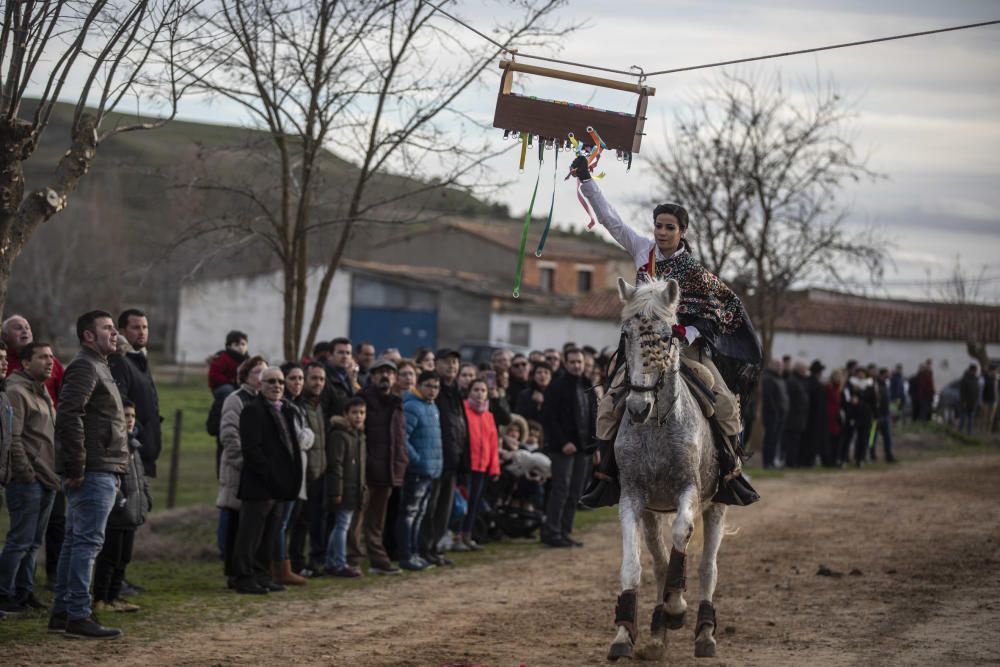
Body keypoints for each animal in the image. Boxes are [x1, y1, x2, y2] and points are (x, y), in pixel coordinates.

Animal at [604, 278, 732, 664]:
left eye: (665, 336)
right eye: (627, 334)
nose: (636, 406)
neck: (657, 425)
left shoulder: (687, 489)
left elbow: (681, 534)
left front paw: (677, 607)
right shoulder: (633, 497)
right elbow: (634, 565)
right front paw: (624, 635)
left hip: (717, 504)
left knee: (707, 569)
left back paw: (704, 632)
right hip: (650, 511)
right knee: (660, 564)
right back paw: (658, 632)